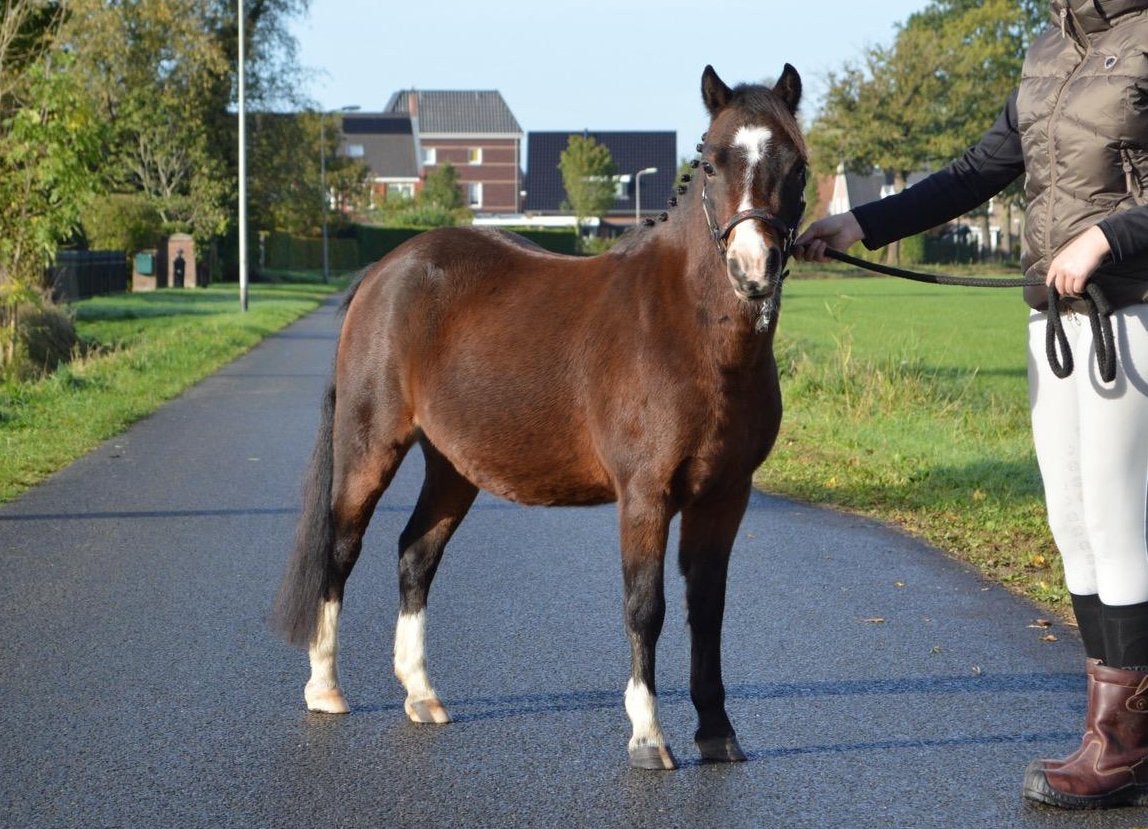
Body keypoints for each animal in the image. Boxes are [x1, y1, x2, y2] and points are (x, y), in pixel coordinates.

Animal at [271, 64, 808, 770]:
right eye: (712, 161)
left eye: (796, 165)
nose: (753, 270)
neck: (690, 334)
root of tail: (385, 271)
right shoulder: (645, 495)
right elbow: (646, 606)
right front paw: (648, 736)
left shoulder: (726, 495)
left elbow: (708, 609)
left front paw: (717, 734)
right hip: (370, 446)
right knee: (341, 547)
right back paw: (325, 687)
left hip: (453, 466)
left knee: (415, 554)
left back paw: (421, 695)